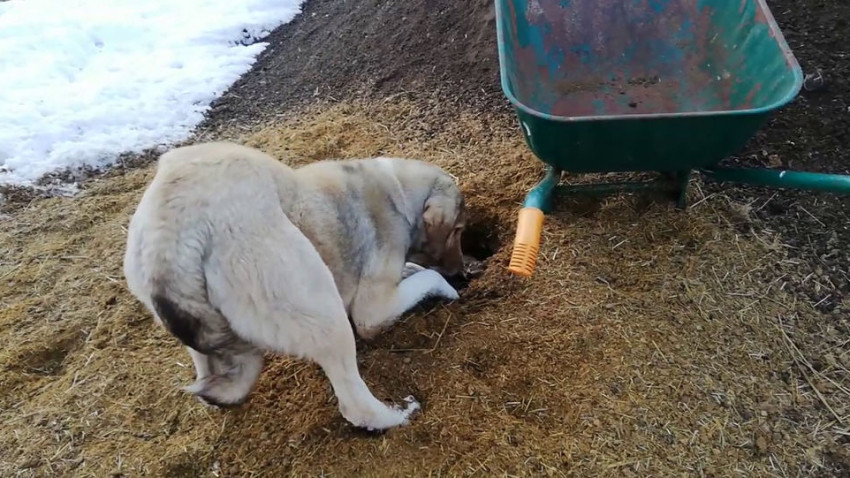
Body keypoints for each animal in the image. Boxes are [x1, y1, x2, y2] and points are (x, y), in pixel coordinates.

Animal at [121, 140, 464, 432]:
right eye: (458, 230)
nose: (464, 272)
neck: (395, 194)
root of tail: (171, 230)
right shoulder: (373, 311)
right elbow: (428, 278)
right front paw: (448, 289)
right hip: (324, 315)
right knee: (355, 405)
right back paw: (397, 415)